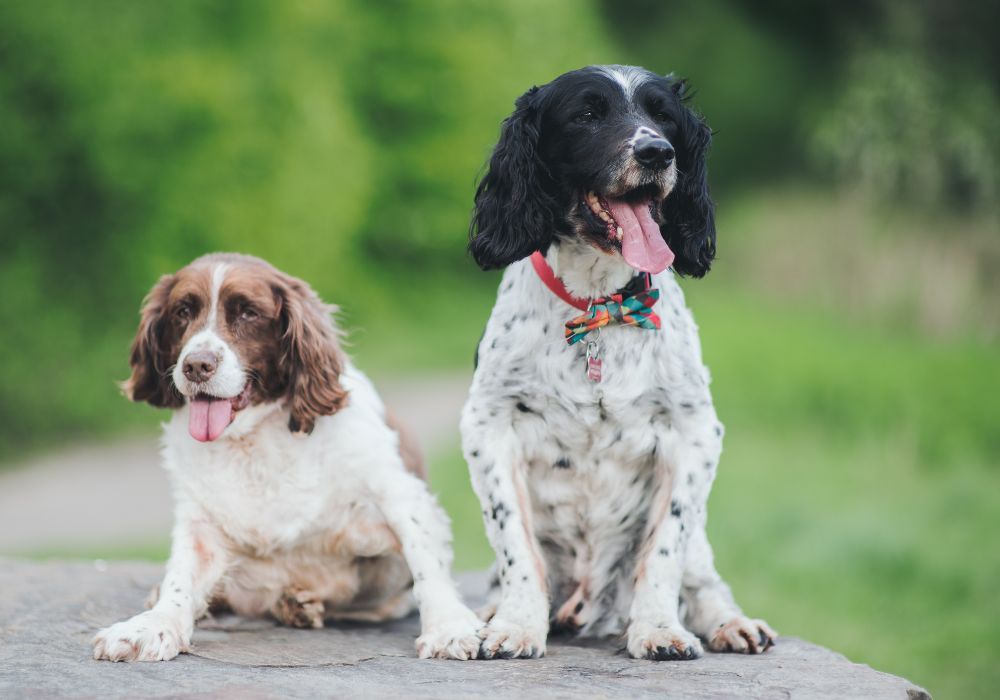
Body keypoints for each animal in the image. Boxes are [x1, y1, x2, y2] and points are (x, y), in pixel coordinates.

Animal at [94, 253, 484, 660]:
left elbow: (424, 557)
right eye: (183, 311)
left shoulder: (398, 493)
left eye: (248, 313)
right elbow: (181, 578)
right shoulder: (201, 522)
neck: (254, 438)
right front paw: (150, 627)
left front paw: (448, 626)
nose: (196, 365)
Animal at [458, 65, 772, 660]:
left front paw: (658, 629)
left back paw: (731, 623)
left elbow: (664, 550)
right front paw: (516, 625)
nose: (656, 152)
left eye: (663, 116)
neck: (600, 308)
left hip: (701, 547)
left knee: (705, 581)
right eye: (587, 114)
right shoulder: (489, 425)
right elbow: (517, 545)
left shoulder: (695, 431)